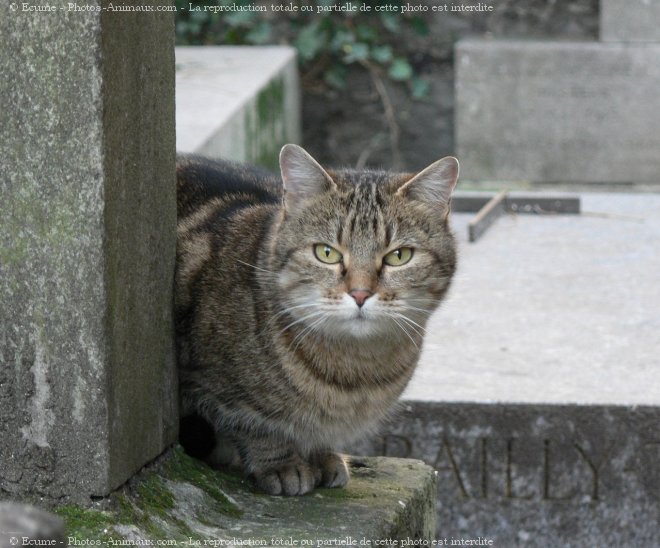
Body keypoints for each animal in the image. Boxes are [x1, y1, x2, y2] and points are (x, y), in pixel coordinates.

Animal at [175, 146, 458, 496]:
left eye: (399, 256)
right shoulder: (210, 385)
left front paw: (323, 455)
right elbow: (253, 426)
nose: (360, 293)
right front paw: (282, 463)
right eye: (326, 253)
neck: (355, 372)